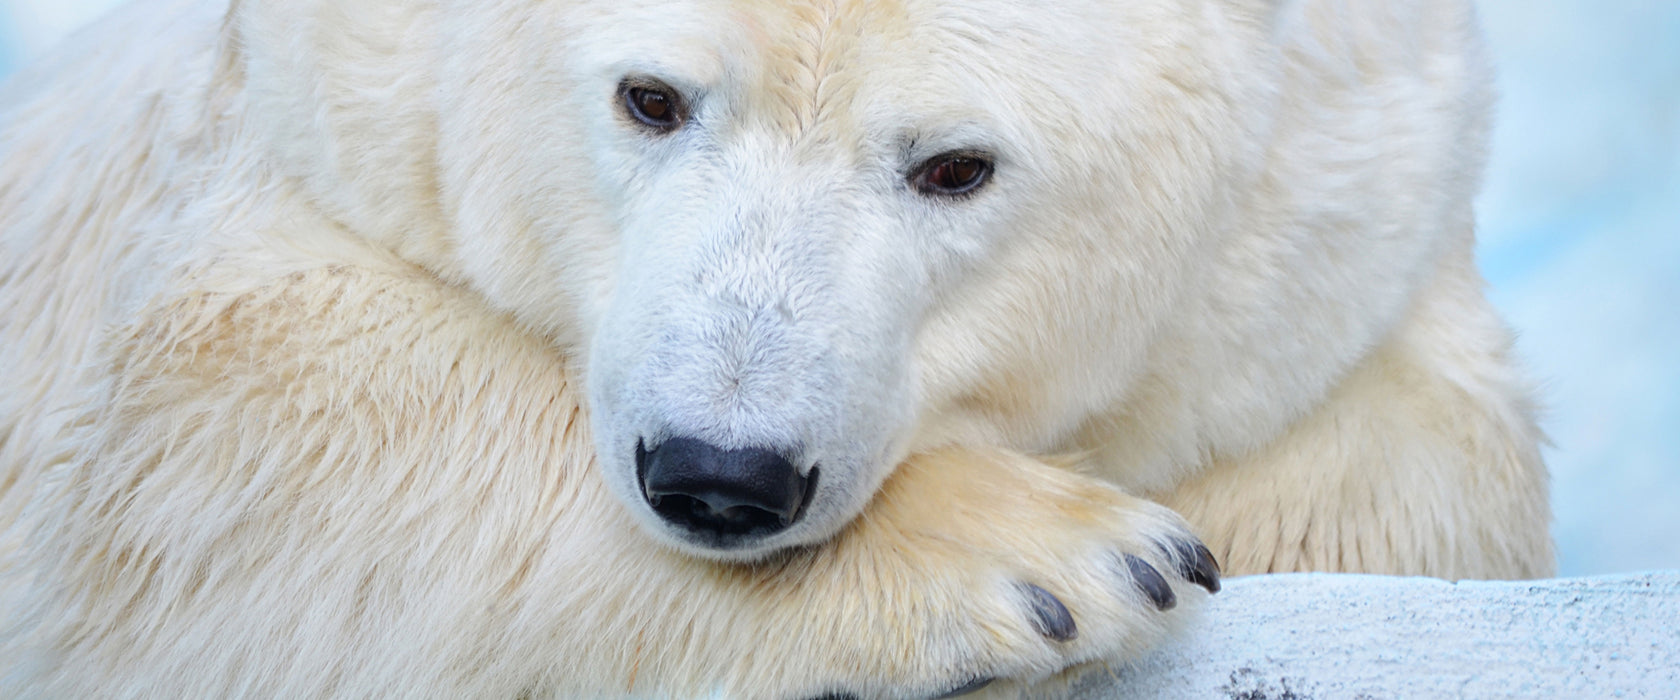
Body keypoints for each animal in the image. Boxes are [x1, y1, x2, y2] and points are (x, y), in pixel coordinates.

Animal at [0, 0, 1545, 691]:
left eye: (955, 166)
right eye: (651, 95)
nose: (719, 474)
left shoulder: (1338, 219)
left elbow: (1425, 472)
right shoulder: (306, 125)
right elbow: (226, 422)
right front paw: (1049, 563)